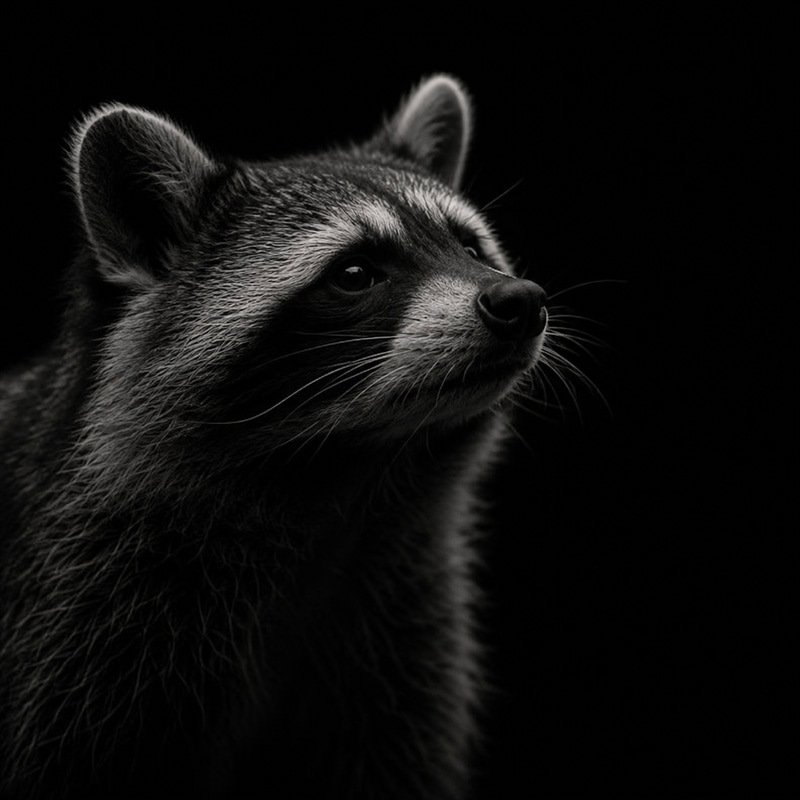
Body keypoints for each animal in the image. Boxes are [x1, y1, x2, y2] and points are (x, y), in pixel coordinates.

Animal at [0, 75, 547, 799]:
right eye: (354, 273)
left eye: (470, 248)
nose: (521, 301)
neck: (350, 488)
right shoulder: (80, 641)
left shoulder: (404, 645)